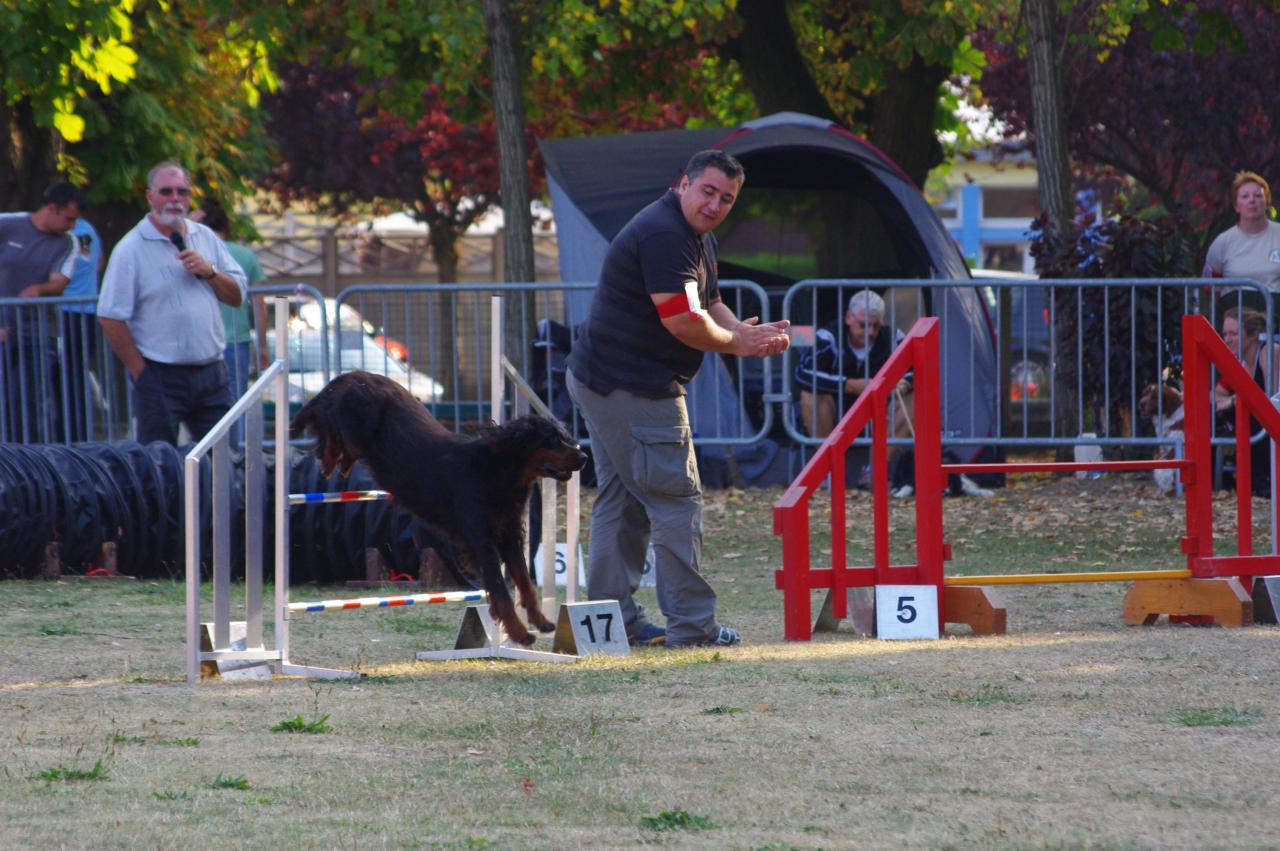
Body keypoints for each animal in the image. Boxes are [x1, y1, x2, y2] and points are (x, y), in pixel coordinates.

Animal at [288, 371, 586, 644]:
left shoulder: (509, 533)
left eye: (564, 436)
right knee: (331, 431)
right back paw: (329, 461)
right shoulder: (480, 539)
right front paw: (519, 633)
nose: (583, 456)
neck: (497, 468)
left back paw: (341, 463)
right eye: (552, 440)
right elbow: (500, 589)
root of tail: (350, 376)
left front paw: (540, 621)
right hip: (357, 420)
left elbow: (524, 581)